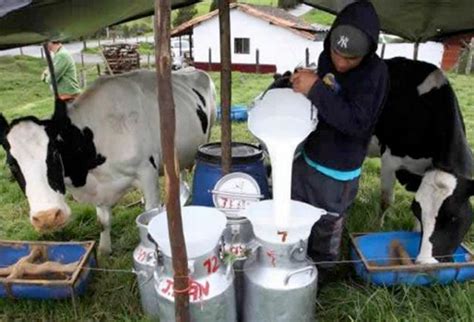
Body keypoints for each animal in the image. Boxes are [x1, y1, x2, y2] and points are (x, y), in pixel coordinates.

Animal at [0, 69, 217, 255]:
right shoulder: (99, 187)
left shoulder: (146, 172)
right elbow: (102, 221)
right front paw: (104, 250)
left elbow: (150, 213)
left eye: (54, 153)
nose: (47, 217)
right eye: (11, 164)